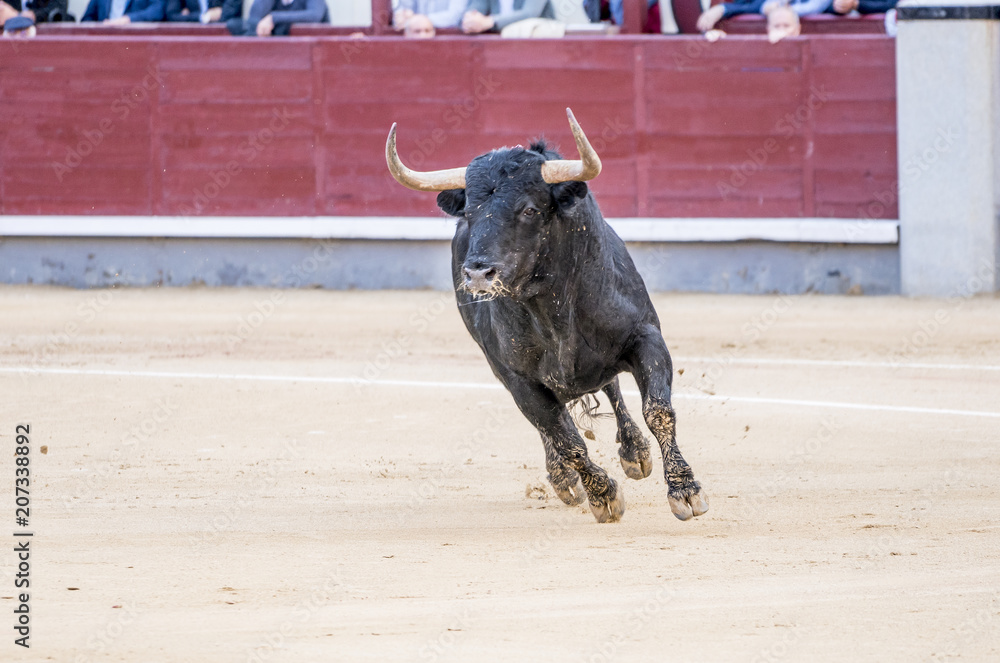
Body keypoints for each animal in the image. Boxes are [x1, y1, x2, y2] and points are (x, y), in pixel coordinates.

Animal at [385, 108, 708, 524]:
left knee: (611, 388)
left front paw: (685, 490)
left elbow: (658, 410)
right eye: (470, 213)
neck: (554, 310)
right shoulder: (518, 377)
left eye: (529, 209)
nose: (477, 274)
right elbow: (565, 437)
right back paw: (563, 478)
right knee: (555, 425)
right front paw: (602, 496)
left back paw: (634, 452)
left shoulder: (646, 337)